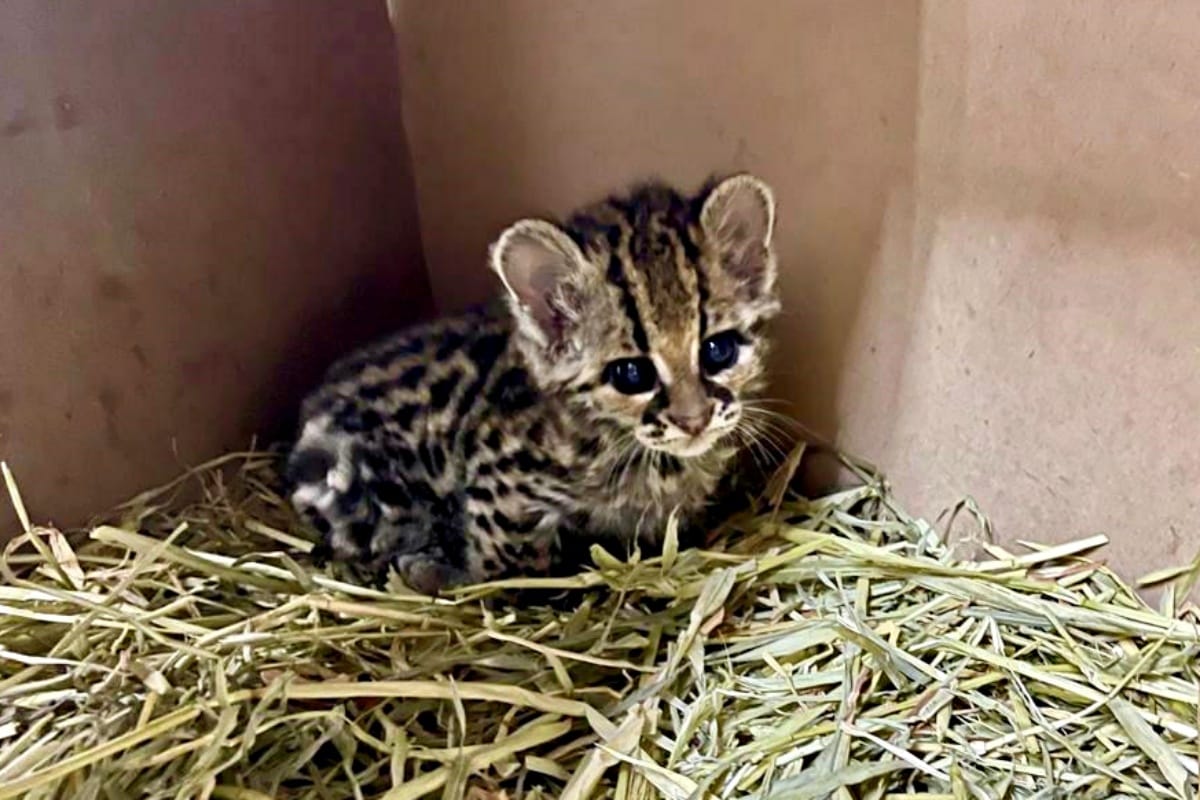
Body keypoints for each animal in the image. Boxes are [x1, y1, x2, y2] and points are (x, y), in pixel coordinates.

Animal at [285, 173, 782, 594]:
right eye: (631, 374)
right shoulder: (498, 483)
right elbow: (508, 568)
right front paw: (458, 575)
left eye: (718, 350)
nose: (694, 421)